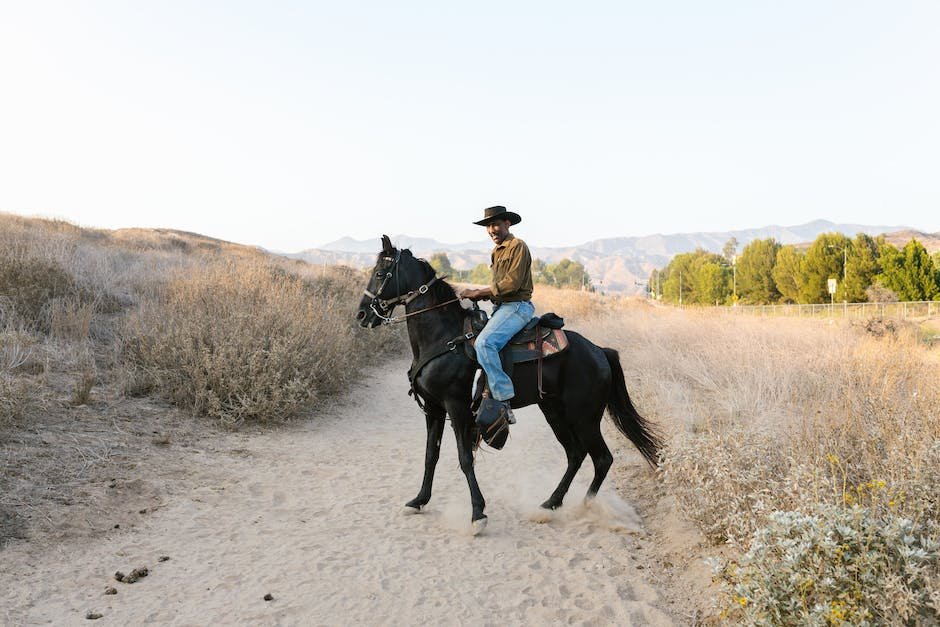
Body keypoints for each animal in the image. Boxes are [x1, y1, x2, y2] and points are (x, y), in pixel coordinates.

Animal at [356, 236, 656, 536]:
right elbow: (431, 455)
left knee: (602, 458)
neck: (443, 338)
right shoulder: (433, 408)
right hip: (554, 412)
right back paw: (550, 504)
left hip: (584, 418)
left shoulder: (456, 407)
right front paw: (419, 500)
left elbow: (465, 458)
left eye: (380, 273)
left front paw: (478, 514)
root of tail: (600, 351)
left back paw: (585, 507)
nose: (361, 314)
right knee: (575, 454)